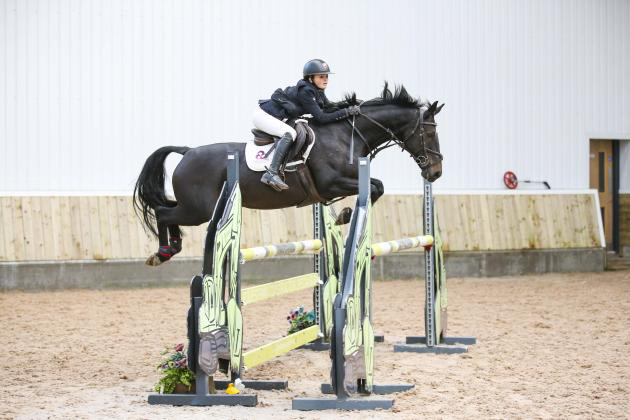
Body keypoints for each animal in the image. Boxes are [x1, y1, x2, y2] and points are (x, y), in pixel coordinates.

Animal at [136, 83, 446, 264]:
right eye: (429, 133)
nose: (436, 172)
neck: (345, 135)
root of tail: (187, 152)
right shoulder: (332, 183)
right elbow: (375, 186)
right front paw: (345, 215)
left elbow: (376, 186)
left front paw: (344, 216)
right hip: (199, 210)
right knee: (163, 212)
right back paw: (163, 253)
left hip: (195, 206)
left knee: (165, 208)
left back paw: (169, 249)